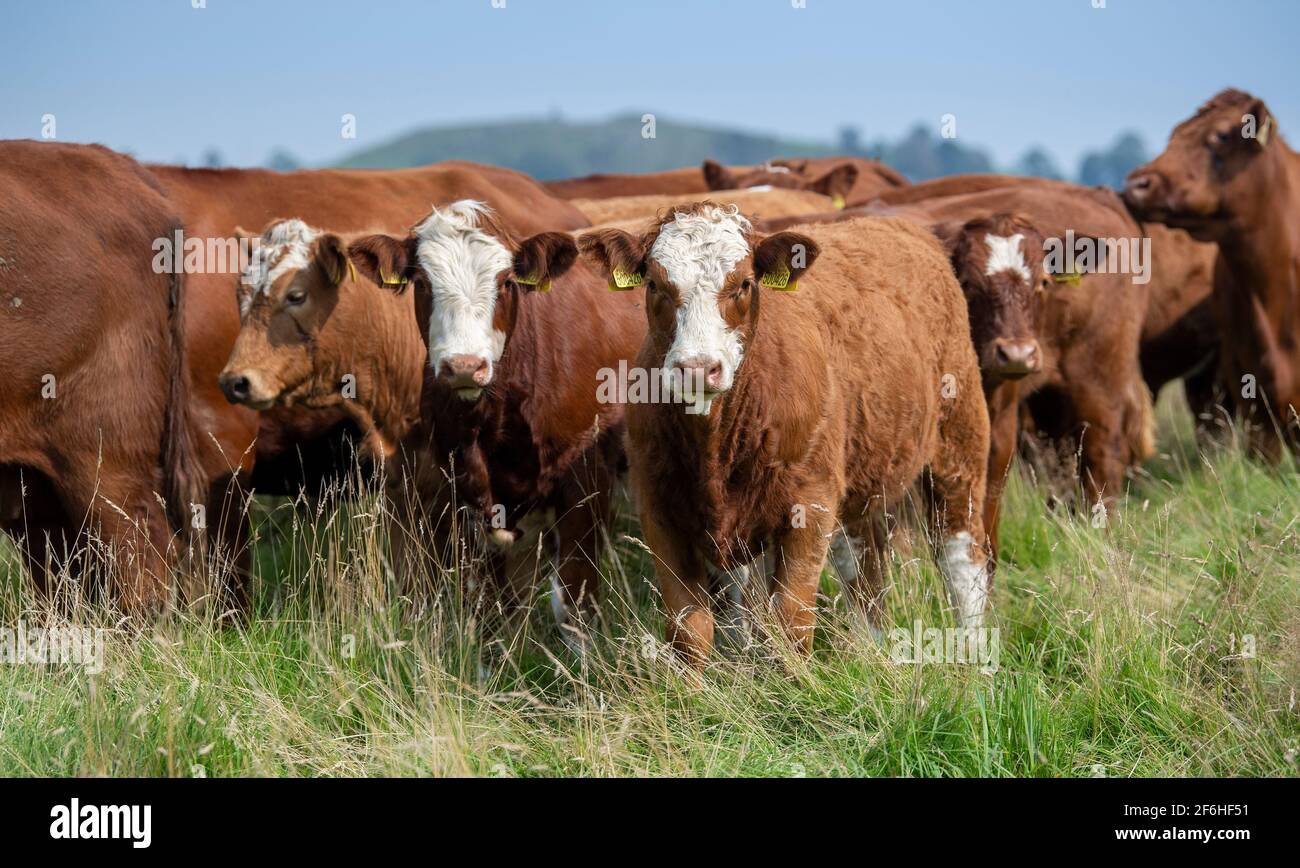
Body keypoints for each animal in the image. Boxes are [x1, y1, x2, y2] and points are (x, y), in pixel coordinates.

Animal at [353, 200, 647, 641]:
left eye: (507, 281)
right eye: (421, 282)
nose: (463, 365)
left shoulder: (586, 481)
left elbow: (576, 603)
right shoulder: (467, 497)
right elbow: (490, 607)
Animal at [574, 206, 987, 670]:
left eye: (744, 284)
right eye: (654, 284)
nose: (697, 368)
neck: (715, 444)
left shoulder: (810, 501)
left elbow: (790, 621)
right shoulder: (660, 508)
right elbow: (690, 630)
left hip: (959, 443)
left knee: (960, 556)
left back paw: (973, 655)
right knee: (864, 566)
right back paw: (871, 645)